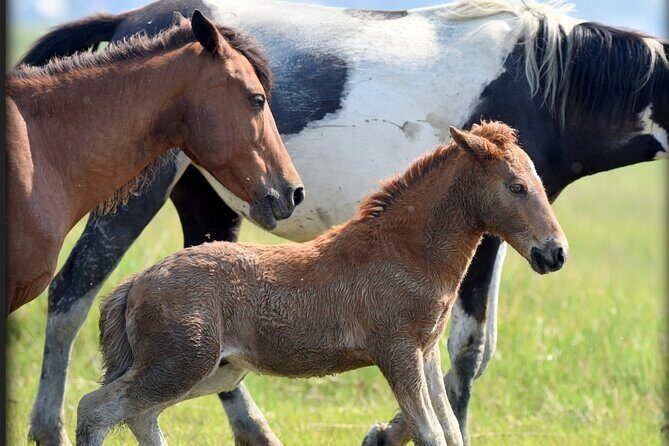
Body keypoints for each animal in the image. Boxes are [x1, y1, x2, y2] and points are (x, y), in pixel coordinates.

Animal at [76, 121, 567, 446]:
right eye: (516, 186)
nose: (556, 252)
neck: (406, 251)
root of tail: (136, 282)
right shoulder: (396, 353)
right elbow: (430, 432)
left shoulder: (425, 352)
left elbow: (448, 431)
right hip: (180, 364)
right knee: (97, 409)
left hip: (215, 369)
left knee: (142, 416)